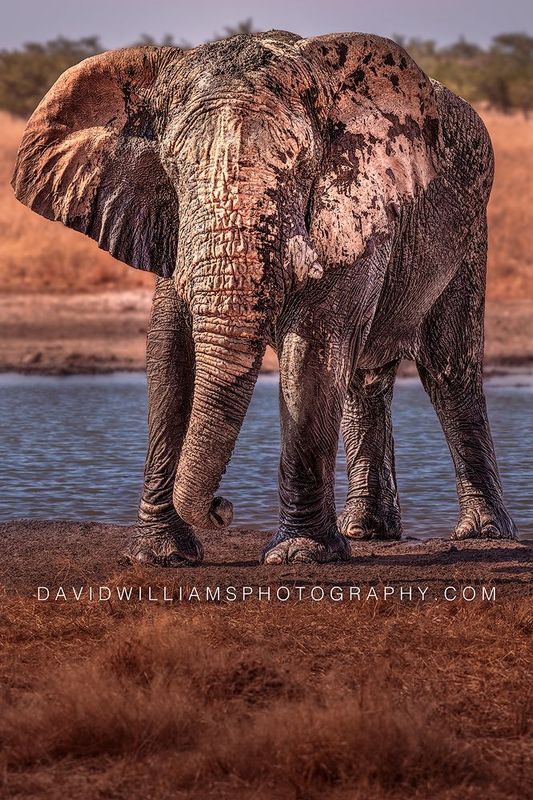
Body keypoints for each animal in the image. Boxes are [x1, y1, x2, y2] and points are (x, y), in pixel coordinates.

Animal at [12, 29, 517, 566]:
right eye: (174, 169)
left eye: (300, 167)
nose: (223, 507)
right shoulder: (168, 222)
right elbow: (169, 350)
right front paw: (159, 555)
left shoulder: (355, 204)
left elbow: (314, 345)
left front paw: (299, 555)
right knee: (365, 375)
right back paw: (366, 531)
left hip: (470, 228)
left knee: (448, 368)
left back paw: (483, 534)